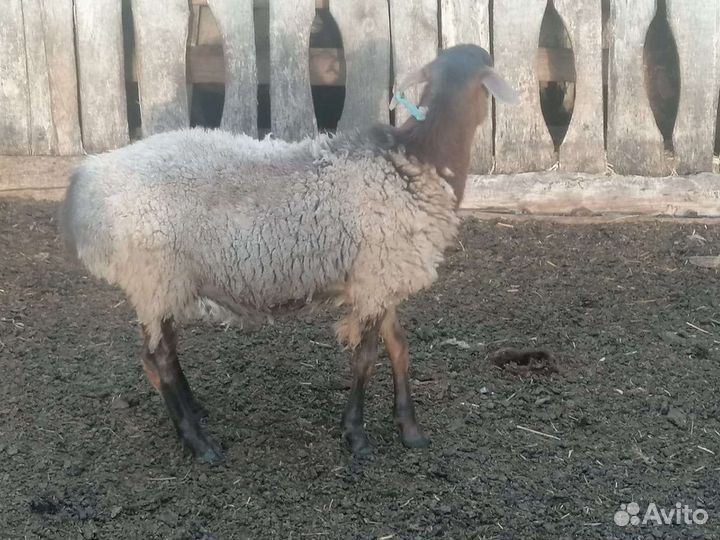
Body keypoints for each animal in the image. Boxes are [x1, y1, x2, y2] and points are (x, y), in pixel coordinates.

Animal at [61, 44, 517, 463]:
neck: (417, 161)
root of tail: (88, 181)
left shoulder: (380, 277)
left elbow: (399, 349)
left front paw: (410, 429)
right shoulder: (375, 278)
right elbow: (366, 358)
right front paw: (357, 435)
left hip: (164, 283)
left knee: (163, 354)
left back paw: (197, 413)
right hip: (155, 274)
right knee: (158, 357)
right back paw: (199, 442)